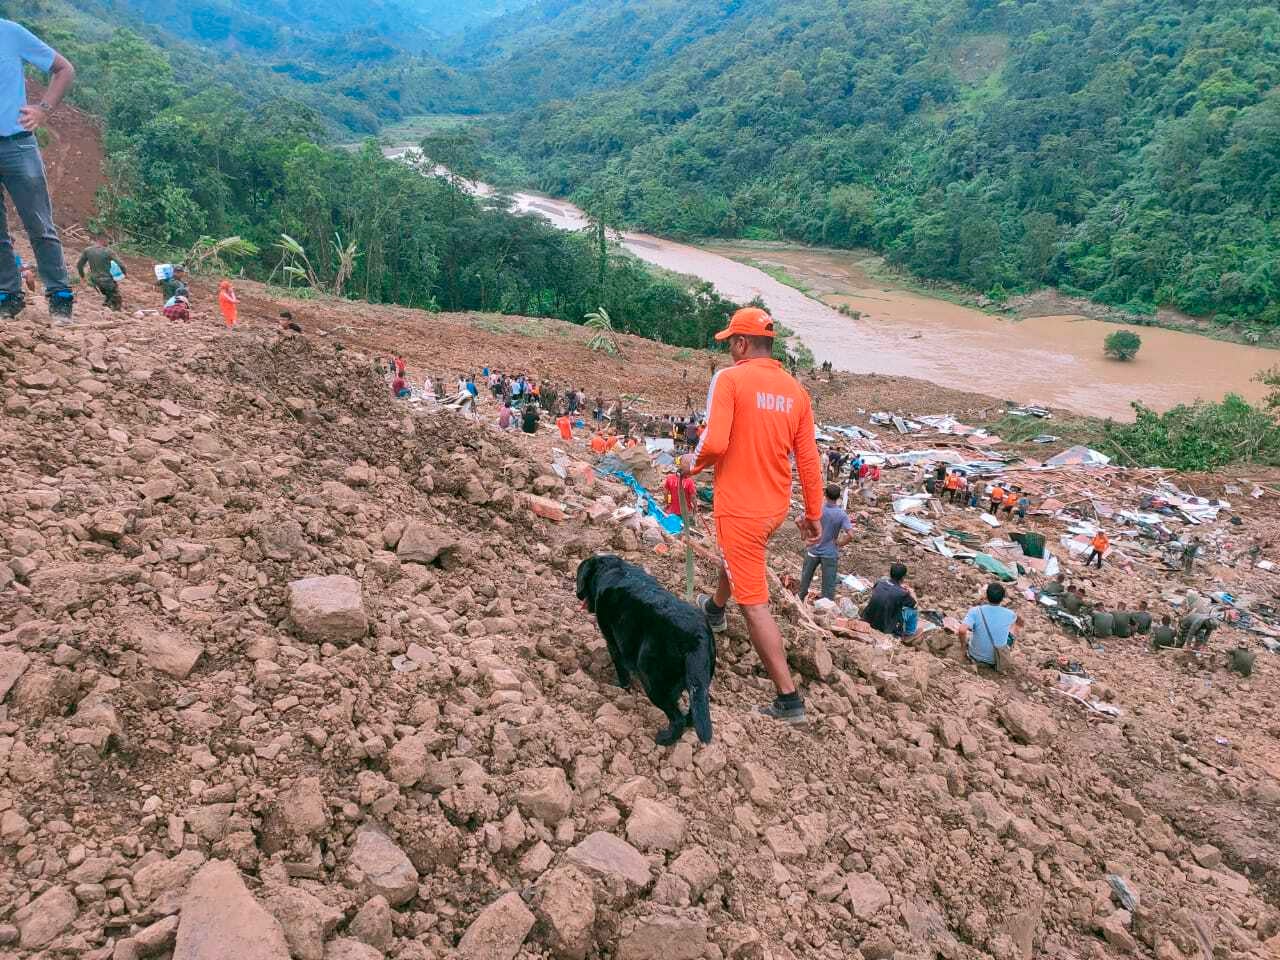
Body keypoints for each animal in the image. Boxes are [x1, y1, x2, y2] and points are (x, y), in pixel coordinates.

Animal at [576, 552, 716, 747]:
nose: (578, 595)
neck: (613, 569)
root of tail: (697, 637)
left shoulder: (613, 641)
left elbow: (621, 669)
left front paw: (621, 687)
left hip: (652, 679)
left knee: (677, 718)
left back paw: (665, 739)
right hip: (699, 682)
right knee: (691, 713)